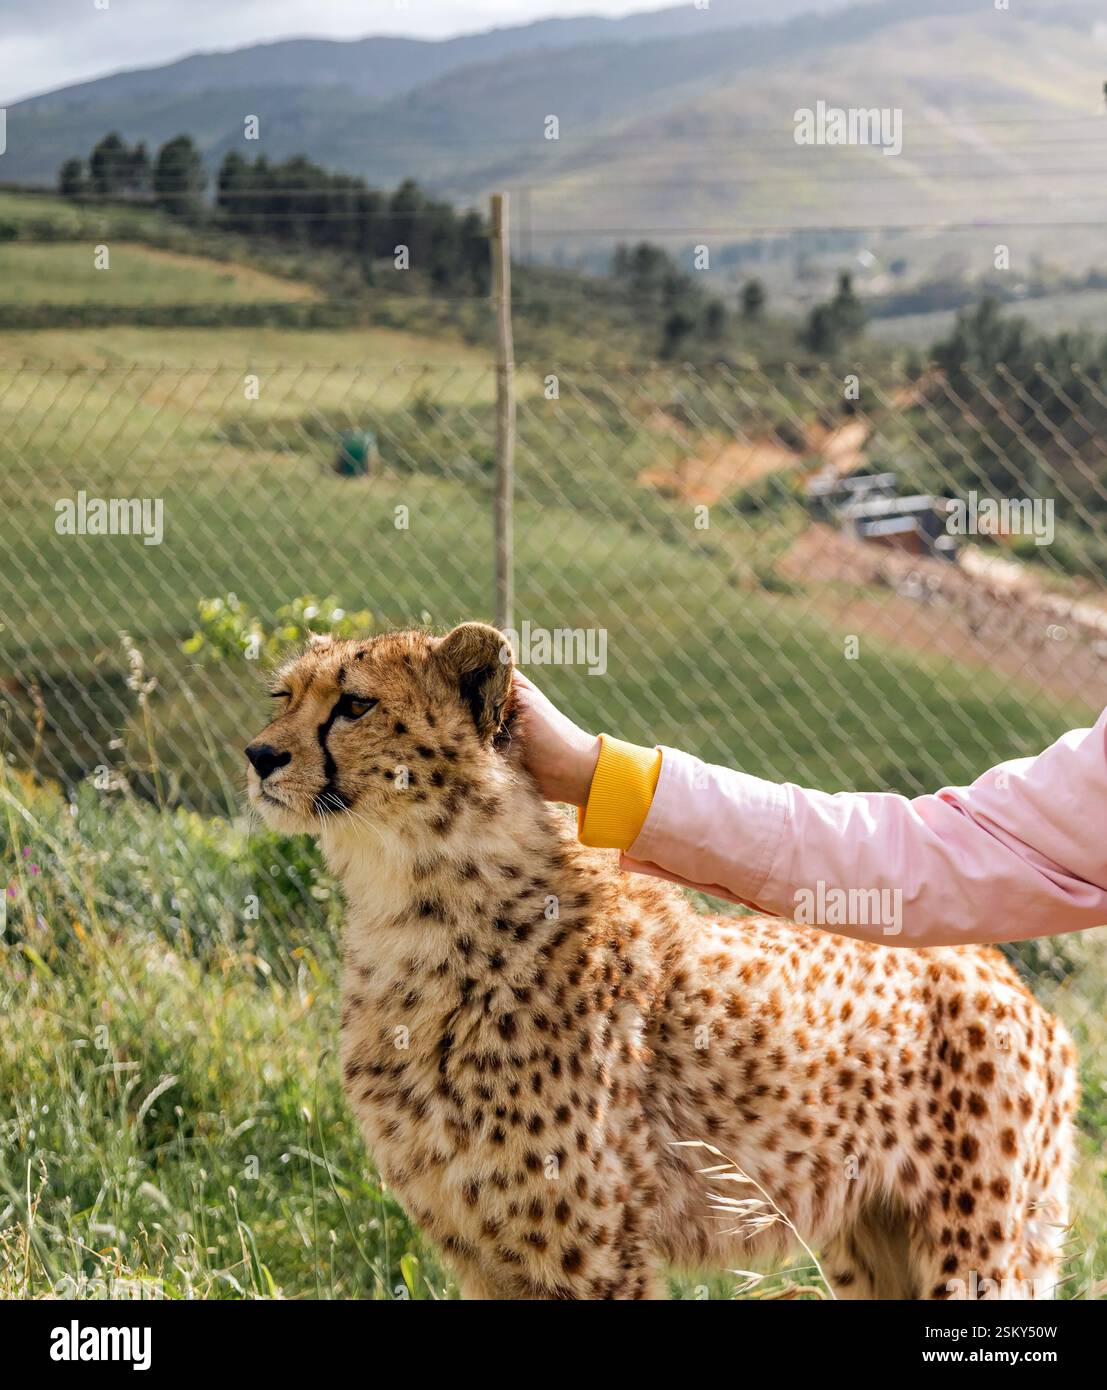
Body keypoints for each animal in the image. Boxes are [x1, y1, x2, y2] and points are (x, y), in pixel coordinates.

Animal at [246, 622, 1078, 1300]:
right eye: (283, 695)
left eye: (355, 705)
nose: (259, 753)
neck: (410, 902)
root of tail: (1005, 976)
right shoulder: (482, 1250)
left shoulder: (592, 1251)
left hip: (971, 1247)